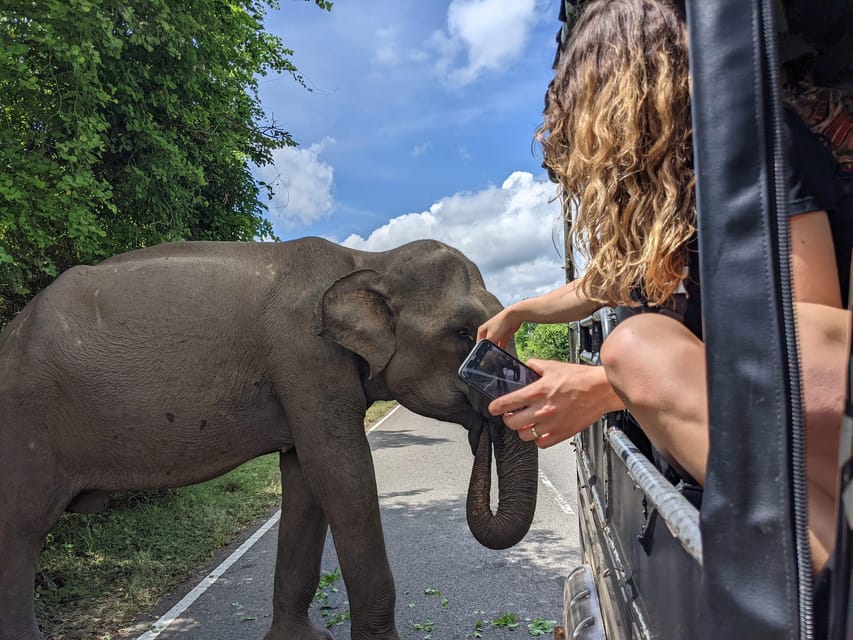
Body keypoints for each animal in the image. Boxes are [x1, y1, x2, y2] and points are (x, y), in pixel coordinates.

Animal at [0, 239, 536, 640]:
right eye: (463, 333)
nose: (483, 425)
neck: (367, 260)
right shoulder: (306, 360)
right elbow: (342, 474)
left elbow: (305, 480)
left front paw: (301, 639)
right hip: (23, 422)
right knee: (20, 530)